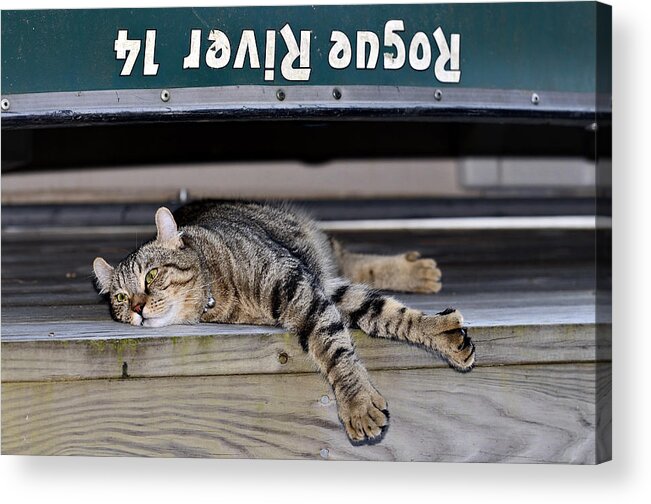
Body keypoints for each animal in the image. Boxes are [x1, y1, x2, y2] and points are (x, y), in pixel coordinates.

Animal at [93, 201, 474, 444]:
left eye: (151, 275)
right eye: (121, 298)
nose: (137, 308)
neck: (219, 287)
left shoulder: (300, 286)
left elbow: (341, 344)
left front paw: (358, 403)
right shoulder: (321, 292)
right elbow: (379, 313)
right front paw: (443, 334)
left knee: (346, 257)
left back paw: (418, 271)